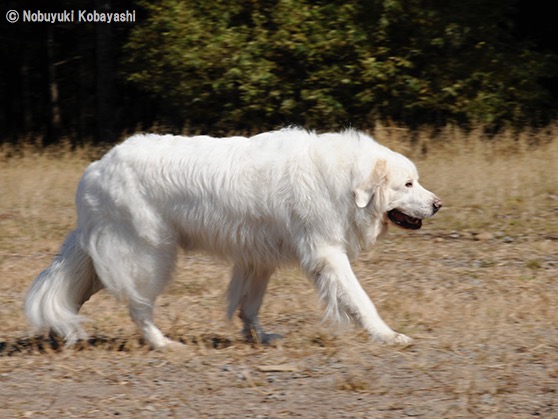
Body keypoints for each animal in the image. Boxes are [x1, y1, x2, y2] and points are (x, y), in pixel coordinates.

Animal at [26, 128, 444, 348]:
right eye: (407, 184)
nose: (438, 204)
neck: (342, 180)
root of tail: (96, 169)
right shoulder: (328, 254)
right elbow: (360, 300)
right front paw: (388, 335)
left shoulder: (259, 259)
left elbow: (250, 304)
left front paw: (259, 337)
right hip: (151, 256)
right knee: (138, 307)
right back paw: (163, 343)